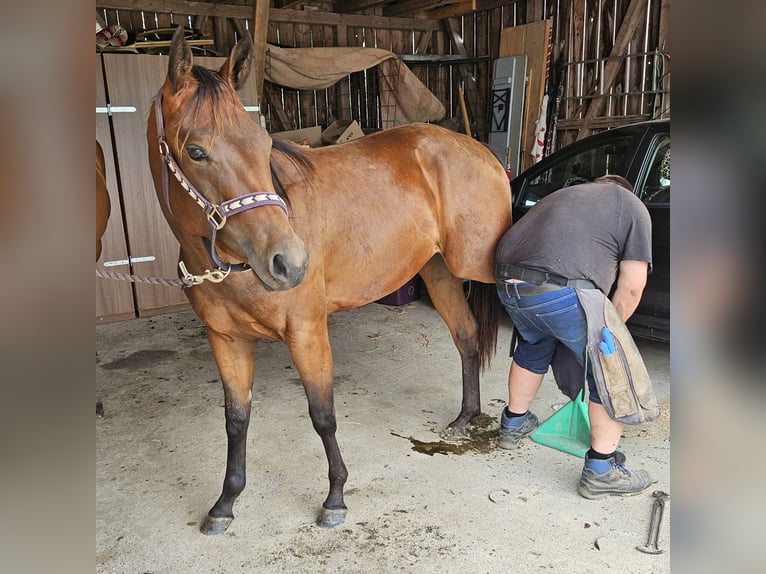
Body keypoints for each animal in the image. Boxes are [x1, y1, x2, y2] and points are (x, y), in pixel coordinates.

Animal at [147, 29, 512, 536]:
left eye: (262, 146)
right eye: (196, 152)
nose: (289, 262)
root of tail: (479, 150)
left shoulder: (307, 332)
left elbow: (322, 416)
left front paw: (335, 497)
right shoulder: (226, 340)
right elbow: (236, 421)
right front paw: (225, 503)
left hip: (489, 269)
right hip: (438, 271)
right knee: (467, 335)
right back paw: (465, 417)